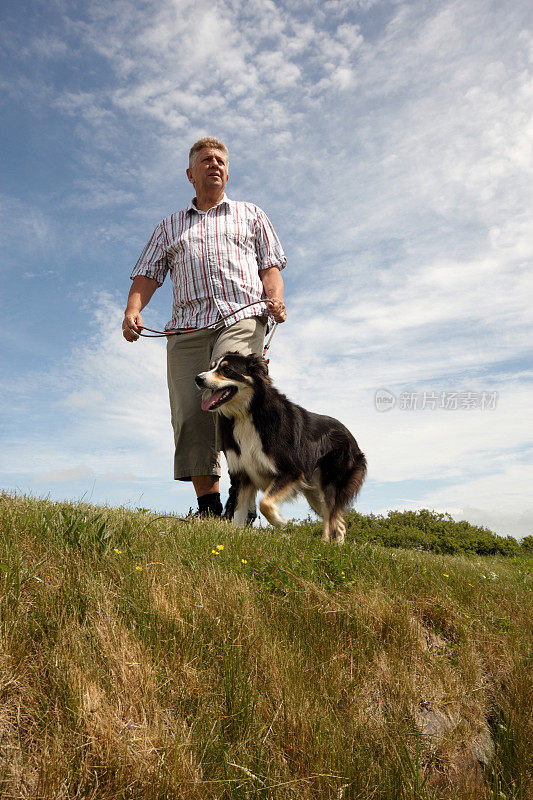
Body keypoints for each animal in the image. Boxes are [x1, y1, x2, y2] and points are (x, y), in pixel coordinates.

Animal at [195, 352, 366, 544]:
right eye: (212, 367)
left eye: (227, 370)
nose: (198, 379)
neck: (247, 413)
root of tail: (352, 439)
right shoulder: (244, 474)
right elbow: (239, 512)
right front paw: (235, 537)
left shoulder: (291, 470)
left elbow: (264, 503)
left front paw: (280, 522)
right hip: (314, 493)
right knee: (339, 520)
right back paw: (336, 545)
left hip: (329, 483)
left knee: (331, 516)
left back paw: (324, 542)